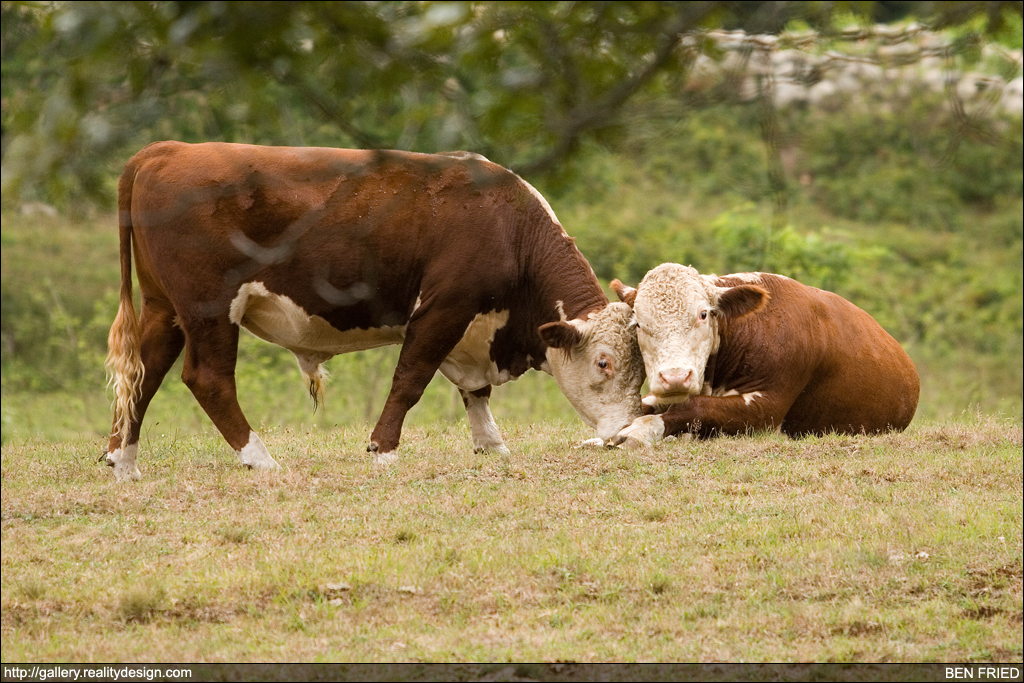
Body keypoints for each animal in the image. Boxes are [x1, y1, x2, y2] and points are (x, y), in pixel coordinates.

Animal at [108, 141, 643, 479]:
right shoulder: (443, 307)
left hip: (164, 307)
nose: (624, 433)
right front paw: (383, 450)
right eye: (603, 363)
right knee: (208, 379)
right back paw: (259, 458)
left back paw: (123, 459)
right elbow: (411, 378)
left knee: (144, 373)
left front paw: (491, 445)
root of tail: (165, 149)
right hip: (210, 307)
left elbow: (475, 391)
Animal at [606, 262, 921, 444]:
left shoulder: (766, 409)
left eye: (703, 314)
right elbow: (649, 403)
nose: (674, 377)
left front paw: (639, 430)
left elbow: (695, 407)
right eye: (638, 323)